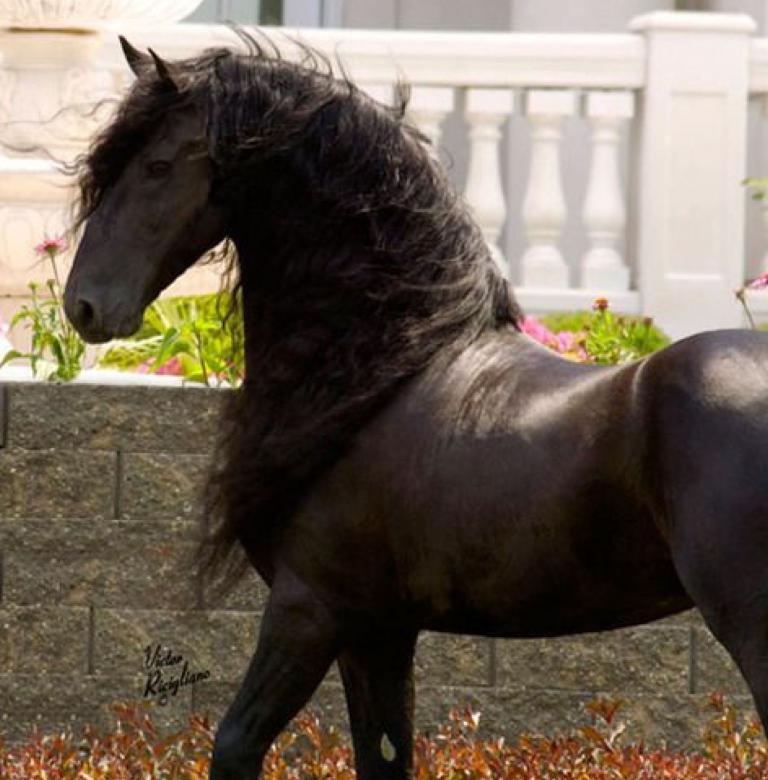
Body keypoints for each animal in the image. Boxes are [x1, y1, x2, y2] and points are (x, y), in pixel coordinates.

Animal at [62, 31, 768, 780]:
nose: (84, 306)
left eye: (158, 165)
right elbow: (383, 756)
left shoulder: (310, 609)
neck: (383, 369)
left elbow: (234, 745)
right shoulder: (379, 632)